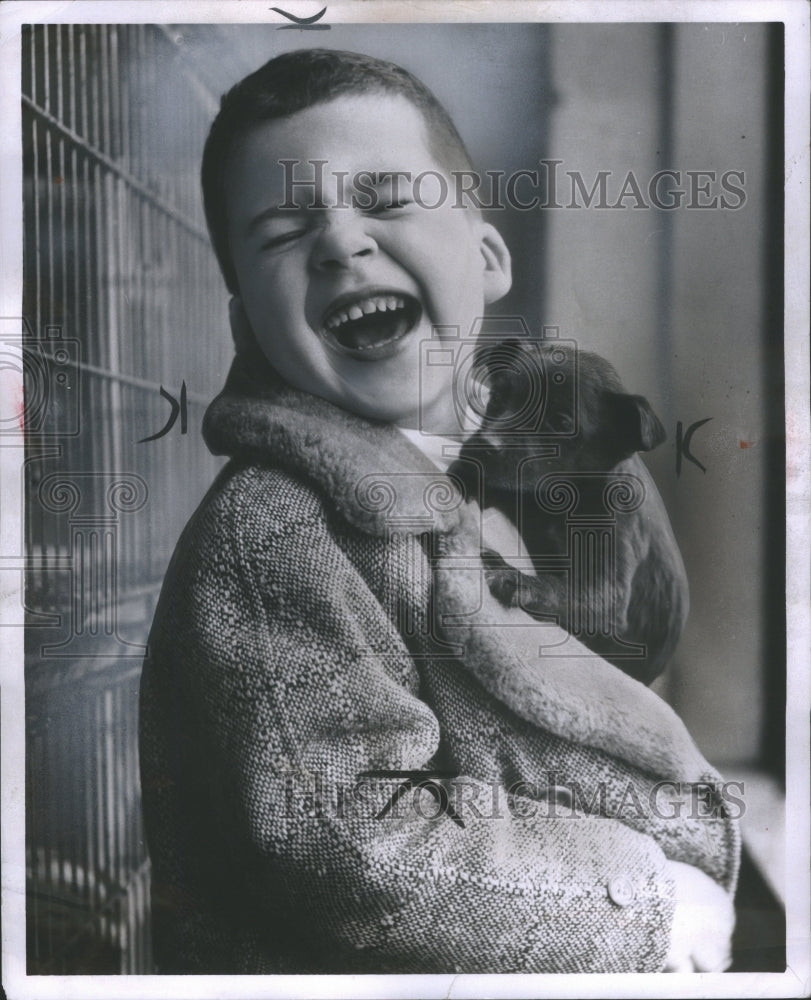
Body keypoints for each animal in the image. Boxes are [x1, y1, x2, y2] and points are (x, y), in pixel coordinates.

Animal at [450, 338, 692, 688]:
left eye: (561, 424)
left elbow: (559, 588)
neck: (563, 501)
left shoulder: (606, 595)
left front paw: (514, 577)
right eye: (497, 397)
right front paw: (470, 477)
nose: (483, 446)